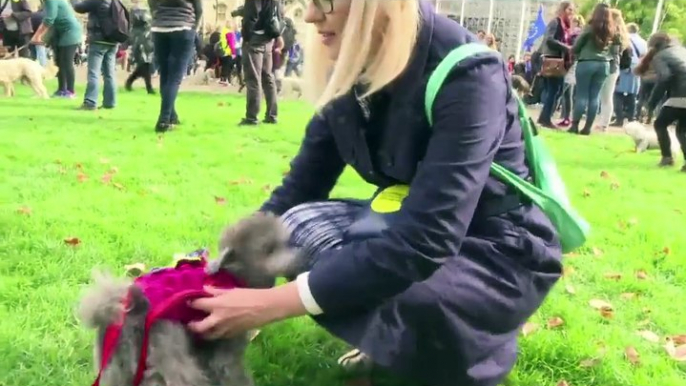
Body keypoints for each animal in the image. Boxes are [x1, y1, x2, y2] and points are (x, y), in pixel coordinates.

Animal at [76, 213, 302, 386]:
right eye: (270, 249)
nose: (301, 254)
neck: (233, 275)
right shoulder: (226, 346)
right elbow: (231, 373)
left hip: (116, 363)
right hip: (168, 352)